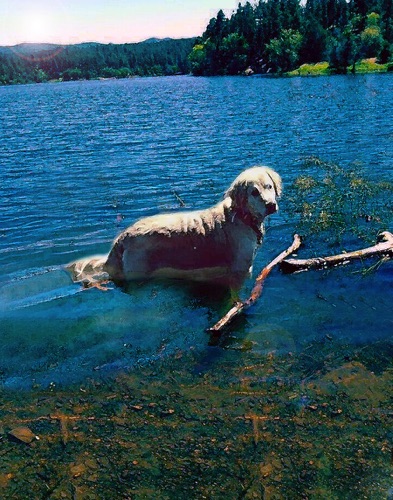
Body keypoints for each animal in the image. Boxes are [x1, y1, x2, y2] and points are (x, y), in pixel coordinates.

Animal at [68, 166, 282, 288]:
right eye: (254, 192)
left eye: (269, 187)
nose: (271, 205)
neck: (242, 216)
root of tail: (123, 236)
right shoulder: (241, 268)